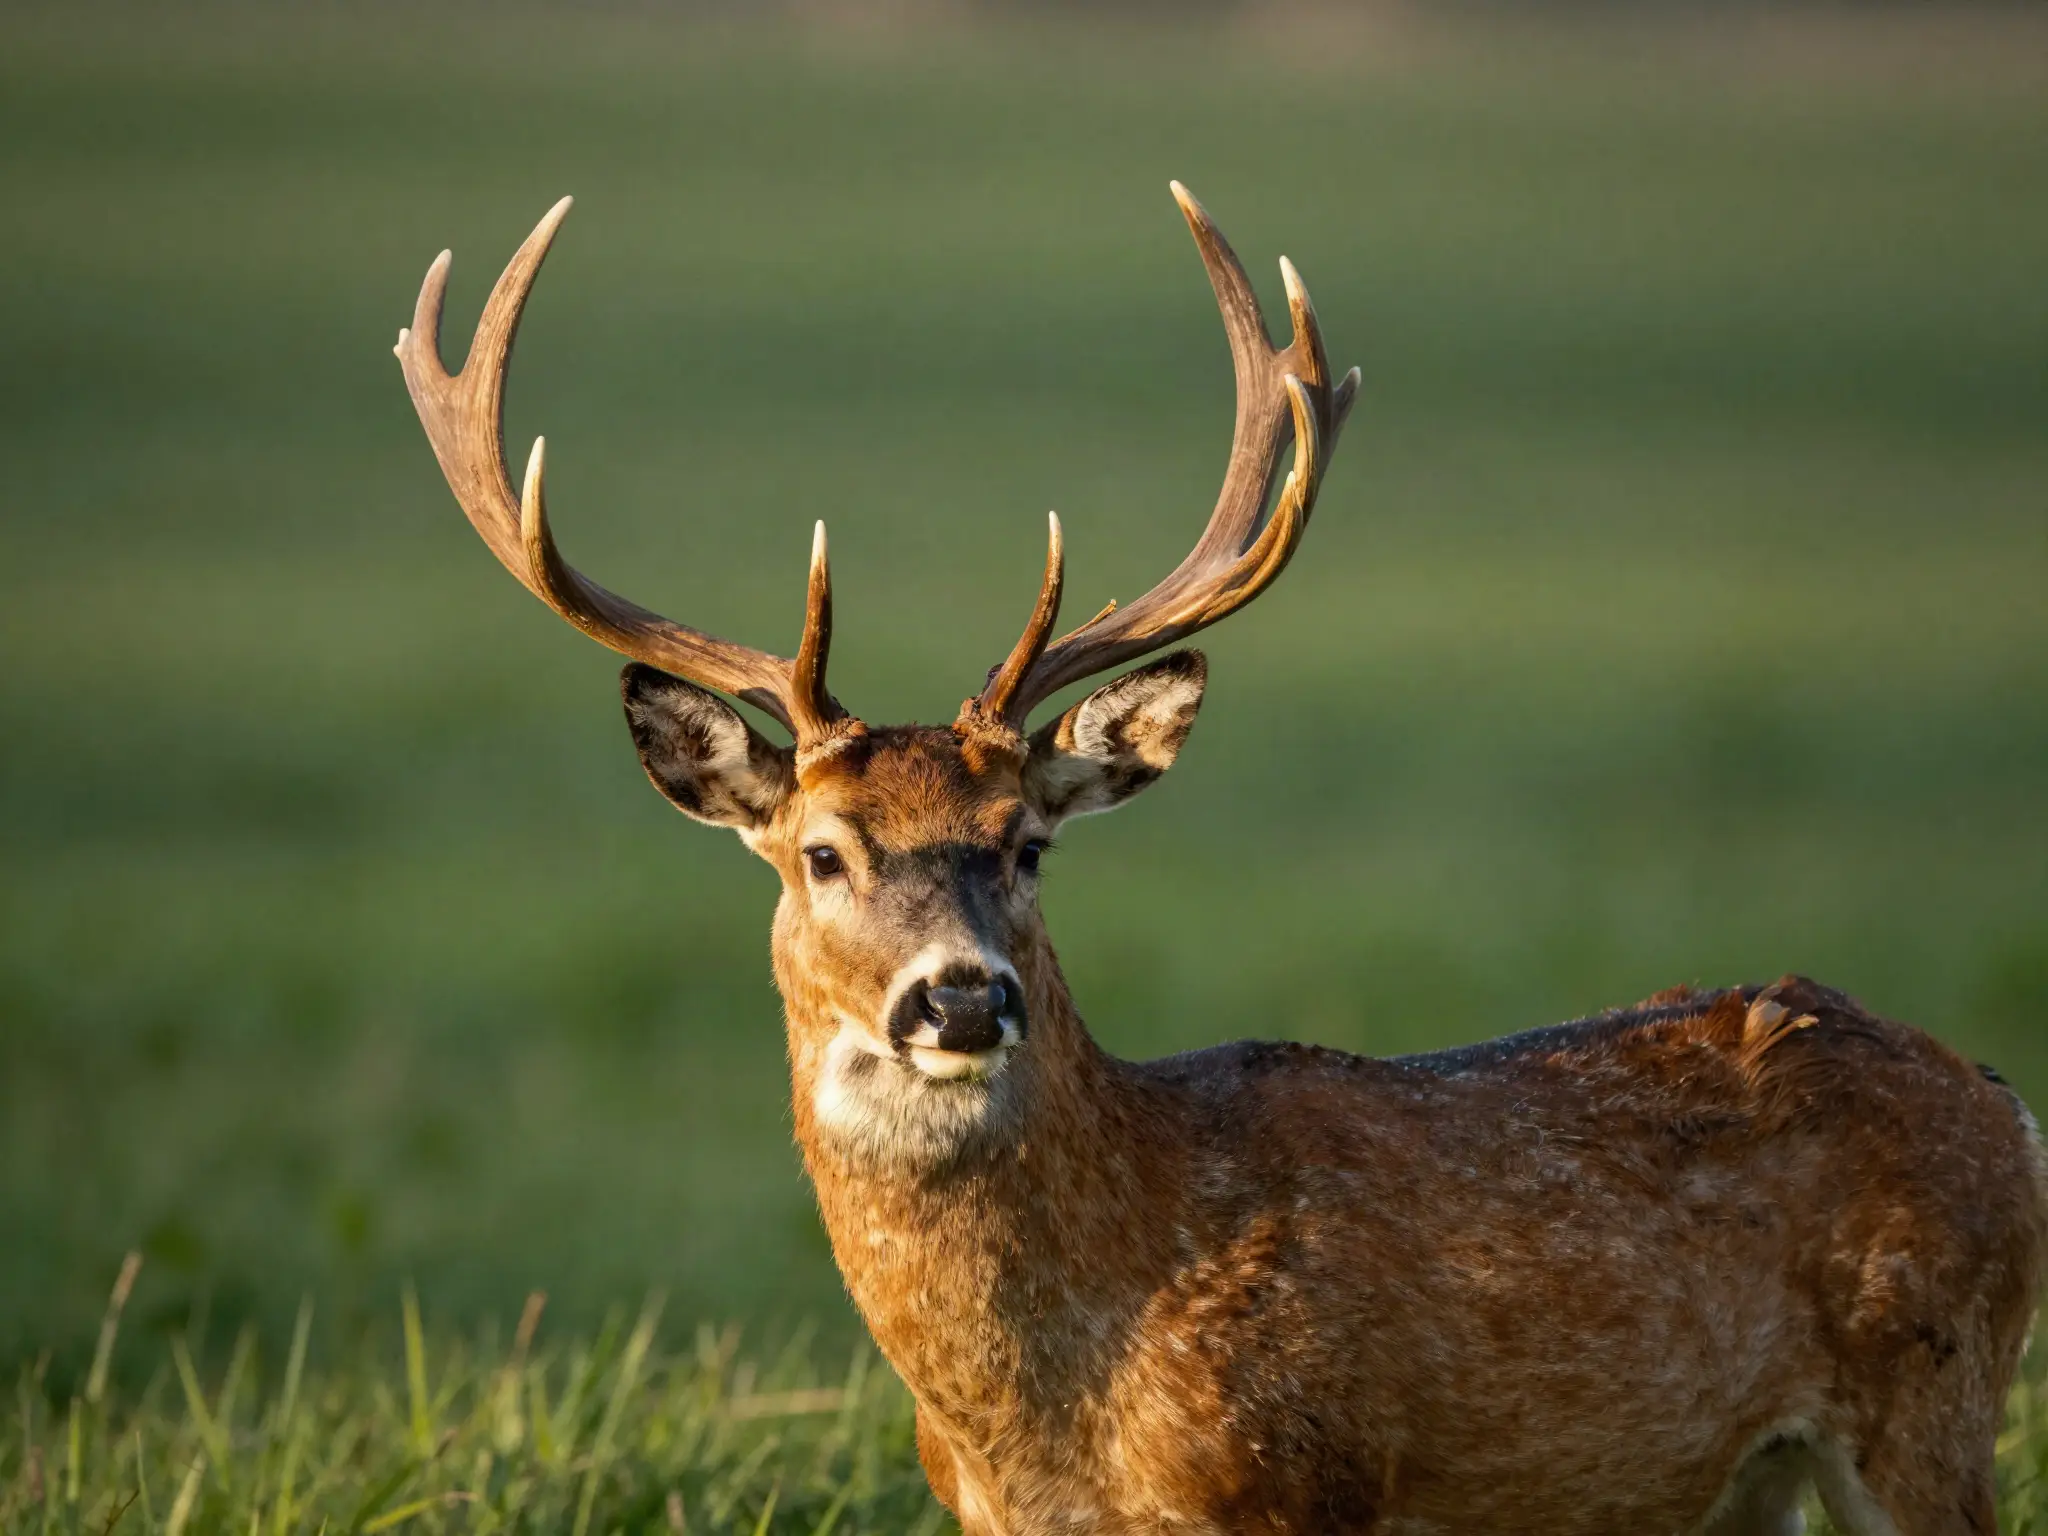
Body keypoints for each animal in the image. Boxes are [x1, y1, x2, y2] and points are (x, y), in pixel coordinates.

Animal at [396, 186, 2046, 1536]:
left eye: (1028, 844)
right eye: (819, 854)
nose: (960, 999)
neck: (1044, 1420)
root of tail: (2007, 1103)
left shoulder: (1298, 1486)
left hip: (1930, 1402)